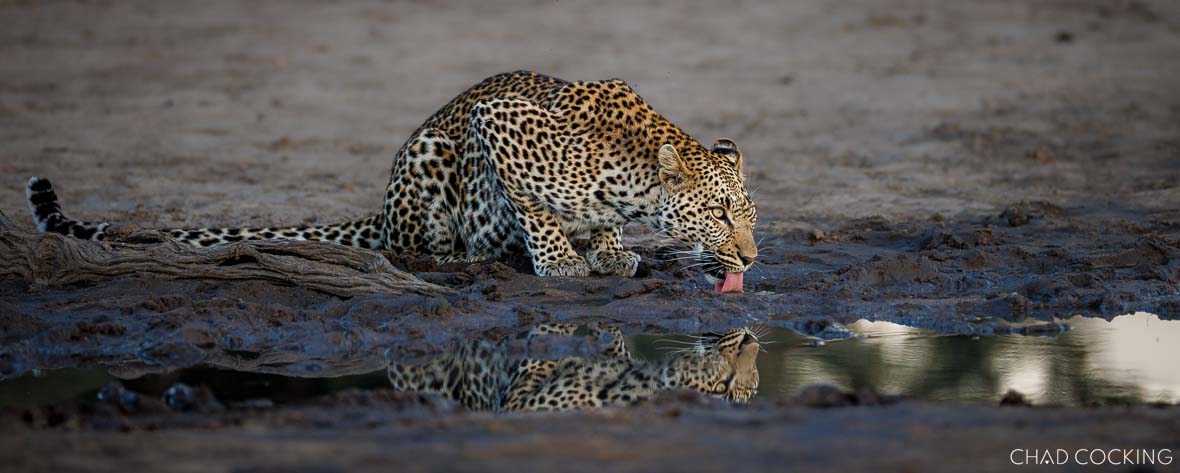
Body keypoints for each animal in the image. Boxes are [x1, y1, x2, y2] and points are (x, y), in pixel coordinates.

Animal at [24, 71, 758, 292]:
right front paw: (561, 261)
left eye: (749, 216)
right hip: (429, 154)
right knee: (409, 247)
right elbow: (535, 207)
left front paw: (608, 251)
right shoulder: (498, 123)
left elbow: (600, 224)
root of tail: (379, 208)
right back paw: (468, 256)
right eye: (720, 213)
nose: (751, 258)